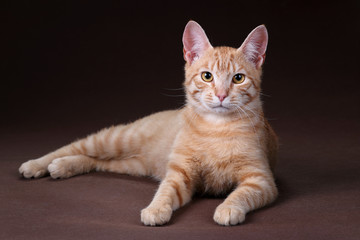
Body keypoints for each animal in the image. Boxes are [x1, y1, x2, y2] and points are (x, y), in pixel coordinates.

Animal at [19, 21, 278, 227]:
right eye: (207, 76)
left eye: (238, 78)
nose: (222, 95)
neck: (216, 128)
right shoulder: (179, 173)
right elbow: (165, 191)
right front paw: (155, 209)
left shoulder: (260, 180)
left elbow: (241, 194)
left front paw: (228, 207)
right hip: (115, 139)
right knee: (73, 147)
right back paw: (37, 164)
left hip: (131, 164)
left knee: (98, 162)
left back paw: (63, 166)